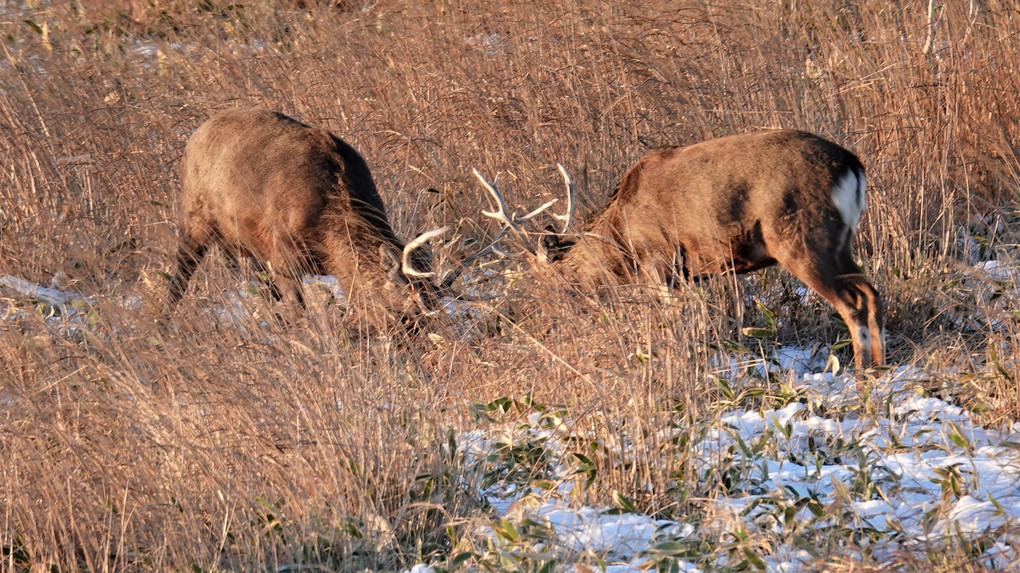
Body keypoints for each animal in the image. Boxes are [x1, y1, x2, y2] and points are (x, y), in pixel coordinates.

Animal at [165, 108, 452, 330]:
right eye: (407, 310)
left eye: (437, 300)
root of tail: (195, 135)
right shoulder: (282, 254)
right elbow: (297, 312)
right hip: (194, 218)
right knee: (181, 270)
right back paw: (162, 325)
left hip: (244, 242)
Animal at [475, 128, 885, 367]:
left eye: (549, 284)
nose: (547, 325)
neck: (622, 236)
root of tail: (851, 165)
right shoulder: (692, 272)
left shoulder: (661, 259)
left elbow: (673, 321)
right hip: (840, 240)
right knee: (871, 291)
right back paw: (879, 368)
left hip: (802, 236)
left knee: (853, 301)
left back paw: (862, 369)